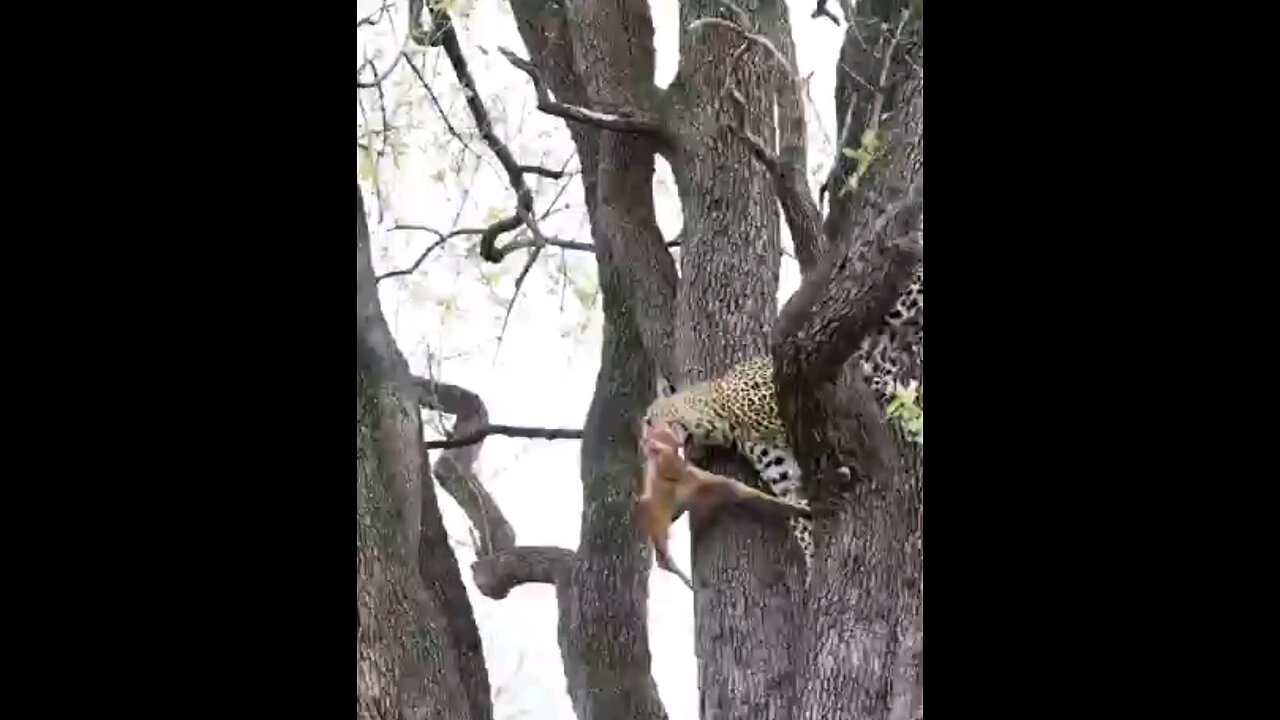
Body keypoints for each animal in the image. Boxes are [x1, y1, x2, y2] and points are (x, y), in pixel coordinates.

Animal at [645, 260, 926, 573]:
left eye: (648, 420)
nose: (647, 445)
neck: (720, 420)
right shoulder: (782, 472)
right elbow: (800, 516)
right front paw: (812, 560)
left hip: (902, 300)